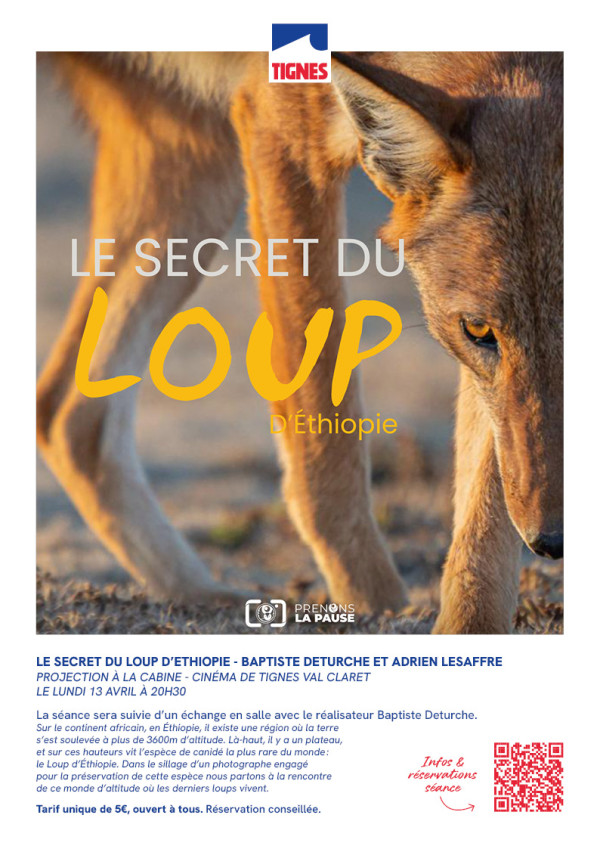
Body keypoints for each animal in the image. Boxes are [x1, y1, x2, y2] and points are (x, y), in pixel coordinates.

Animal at [36, 51, 563, 633]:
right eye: (478, 331)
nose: (551, 540)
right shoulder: (283, 131)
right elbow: (325, 446)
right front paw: (373, 611)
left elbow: (484, 501)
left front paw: (469, 628)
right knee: (67, 411)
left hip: (200, 175)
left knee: (67, 416)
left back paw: (203, 597)